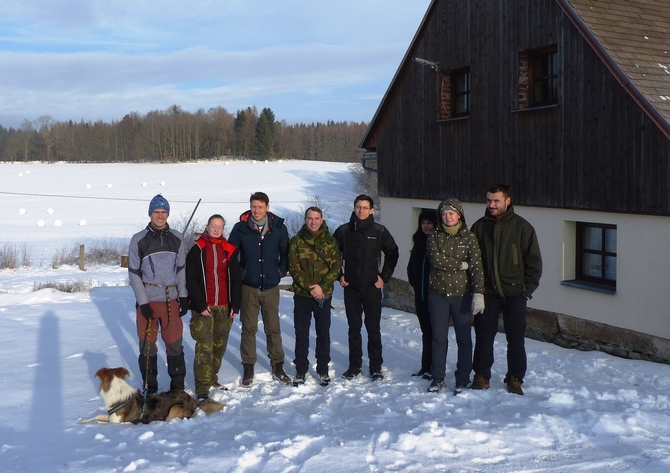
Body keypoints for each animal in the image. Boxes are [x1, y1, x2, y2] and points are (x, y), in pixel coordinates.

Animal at [78, 366, 226, 424]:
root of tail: (194, 400)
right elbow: (98, 416)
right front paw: (82, 421)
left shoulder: (118, 422)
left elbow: (101, 422)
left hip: (174, 408)